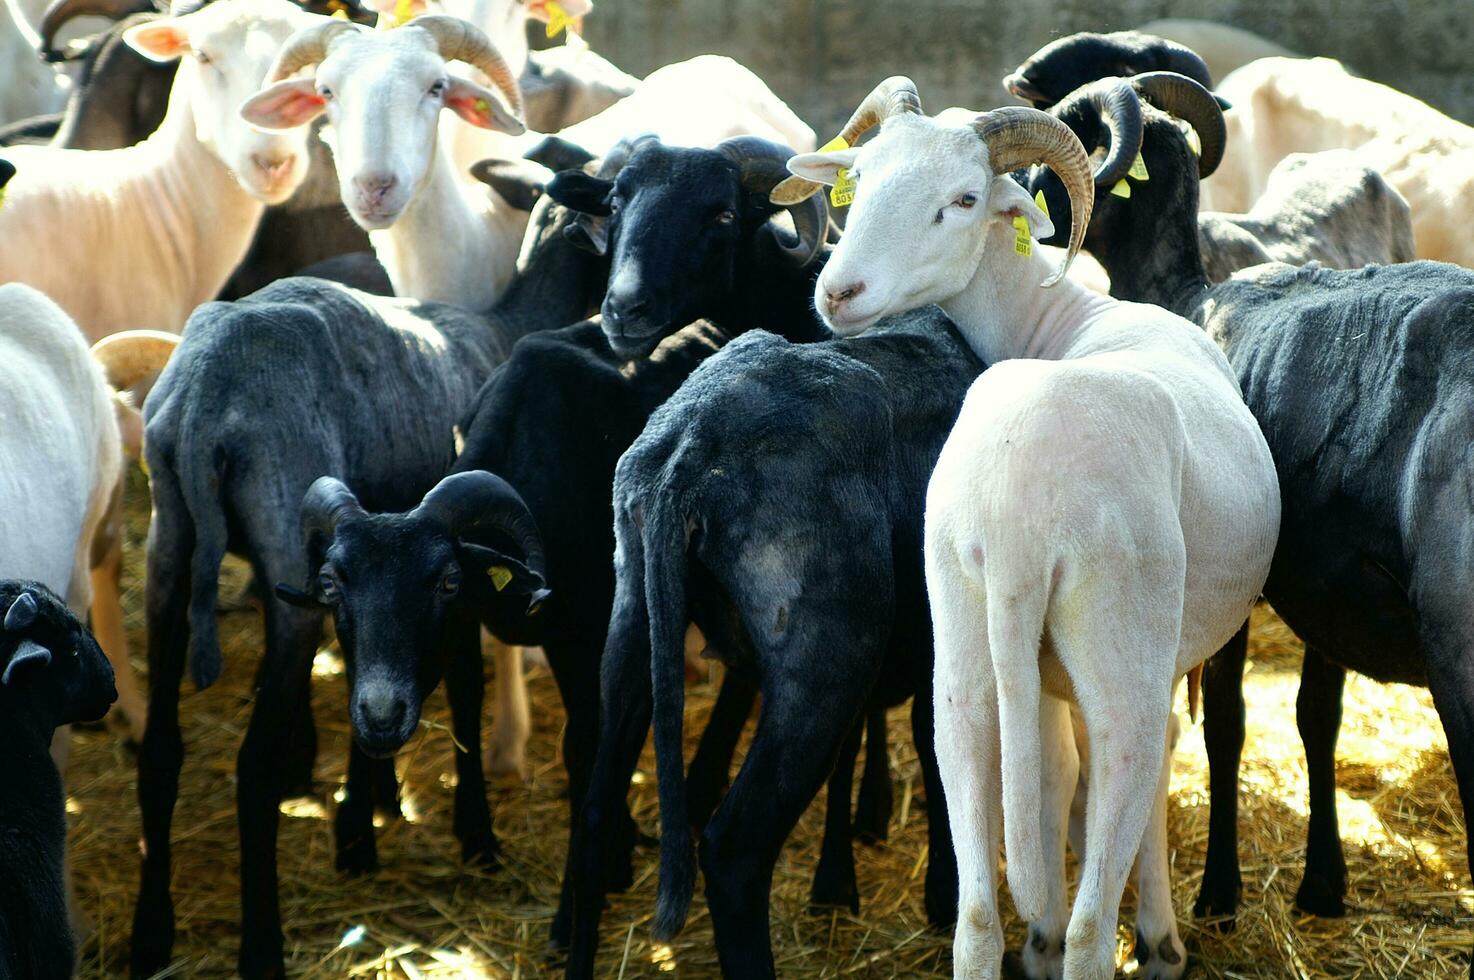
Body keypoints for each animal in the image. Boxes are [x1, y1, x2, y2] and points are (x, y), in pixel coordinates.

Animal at [784, 78, 1279, 978]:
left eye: (963, 199)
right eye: (858, 179)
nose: (837, 294)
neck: (1067, 316)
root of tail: (1018, 514)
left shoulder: (1034, 675)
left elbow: (1048, 779)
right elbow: (1143, 772)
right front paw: (1160, 936)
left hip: (962, 638)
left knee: (979, 907)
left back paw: (1016, 932)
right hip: (1122, 639)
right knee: (1101, 876)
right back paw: (1098, 936)